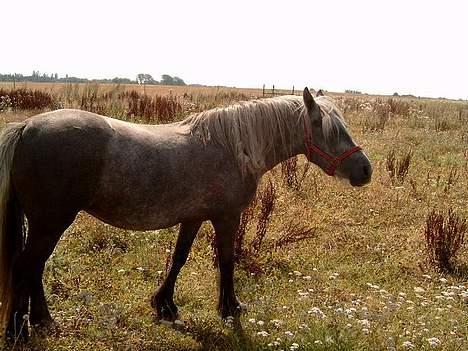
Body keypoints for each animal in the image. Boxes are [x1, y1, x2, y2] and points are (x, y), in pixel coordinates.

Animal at [0, 88, 372, 340]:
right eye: (329, 129)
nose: (364, 170)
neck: (232, 147)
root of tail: (26, 127)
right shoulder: (226, 217)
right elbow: (226, 261)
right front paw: (230, 308)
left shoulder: (193, 218)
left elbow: (179, 258)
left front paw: (164, 305)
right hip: (51, 222)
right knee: (26, 266)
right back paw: (22, 328)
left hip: (45, 224)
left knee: (34, 267)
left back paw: (42, 322)